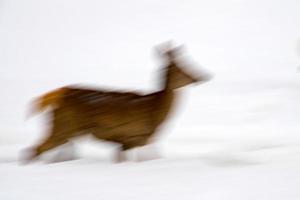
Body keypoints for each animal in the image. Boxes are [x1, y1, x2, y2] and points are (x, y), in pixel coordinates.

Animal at [23, 43, 211, 162]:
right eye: (183, 68)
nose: (202, 77)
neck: (154, 109)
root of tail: (57, 94)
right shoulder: (130, 137)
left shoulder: (128, 142)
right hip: (63, 126)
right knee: (34, 149)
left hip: (66, 129)